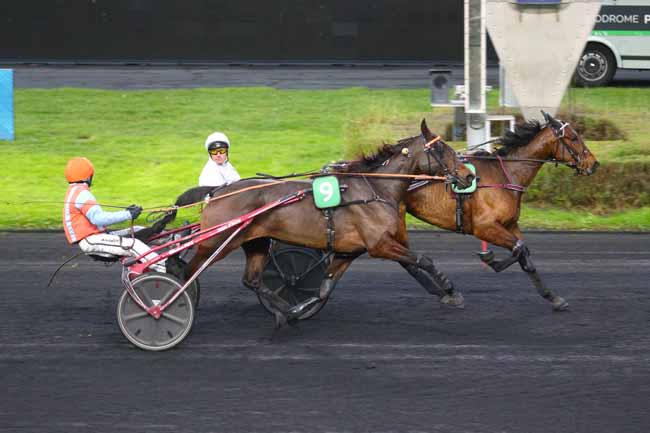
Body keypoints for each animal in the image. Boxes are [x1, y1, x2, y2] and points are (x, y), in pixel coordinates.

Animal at [185, 120, 474, 326]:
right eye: (441, 149)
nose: (469, 175)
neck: (375, 189)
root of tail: (217, 192)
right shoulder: (379, 245)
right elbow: (424, 259)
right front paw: (450, 290)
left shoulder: (349, 251)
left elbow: (323, 289)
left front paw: (296, 310)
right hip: (216, 242)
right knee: (188, 271)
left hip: (256, 242)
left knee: (252, 280)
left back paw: (281, 310)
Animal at [400, 109, 596, 308]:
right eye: (573, 137)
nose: (594, 163)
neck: (505, 174)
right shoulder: (484, 227)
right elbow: (518, 248)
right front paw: (490, 258)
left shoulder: (510, 225)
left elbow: (524, 254)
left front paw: (552, 297)